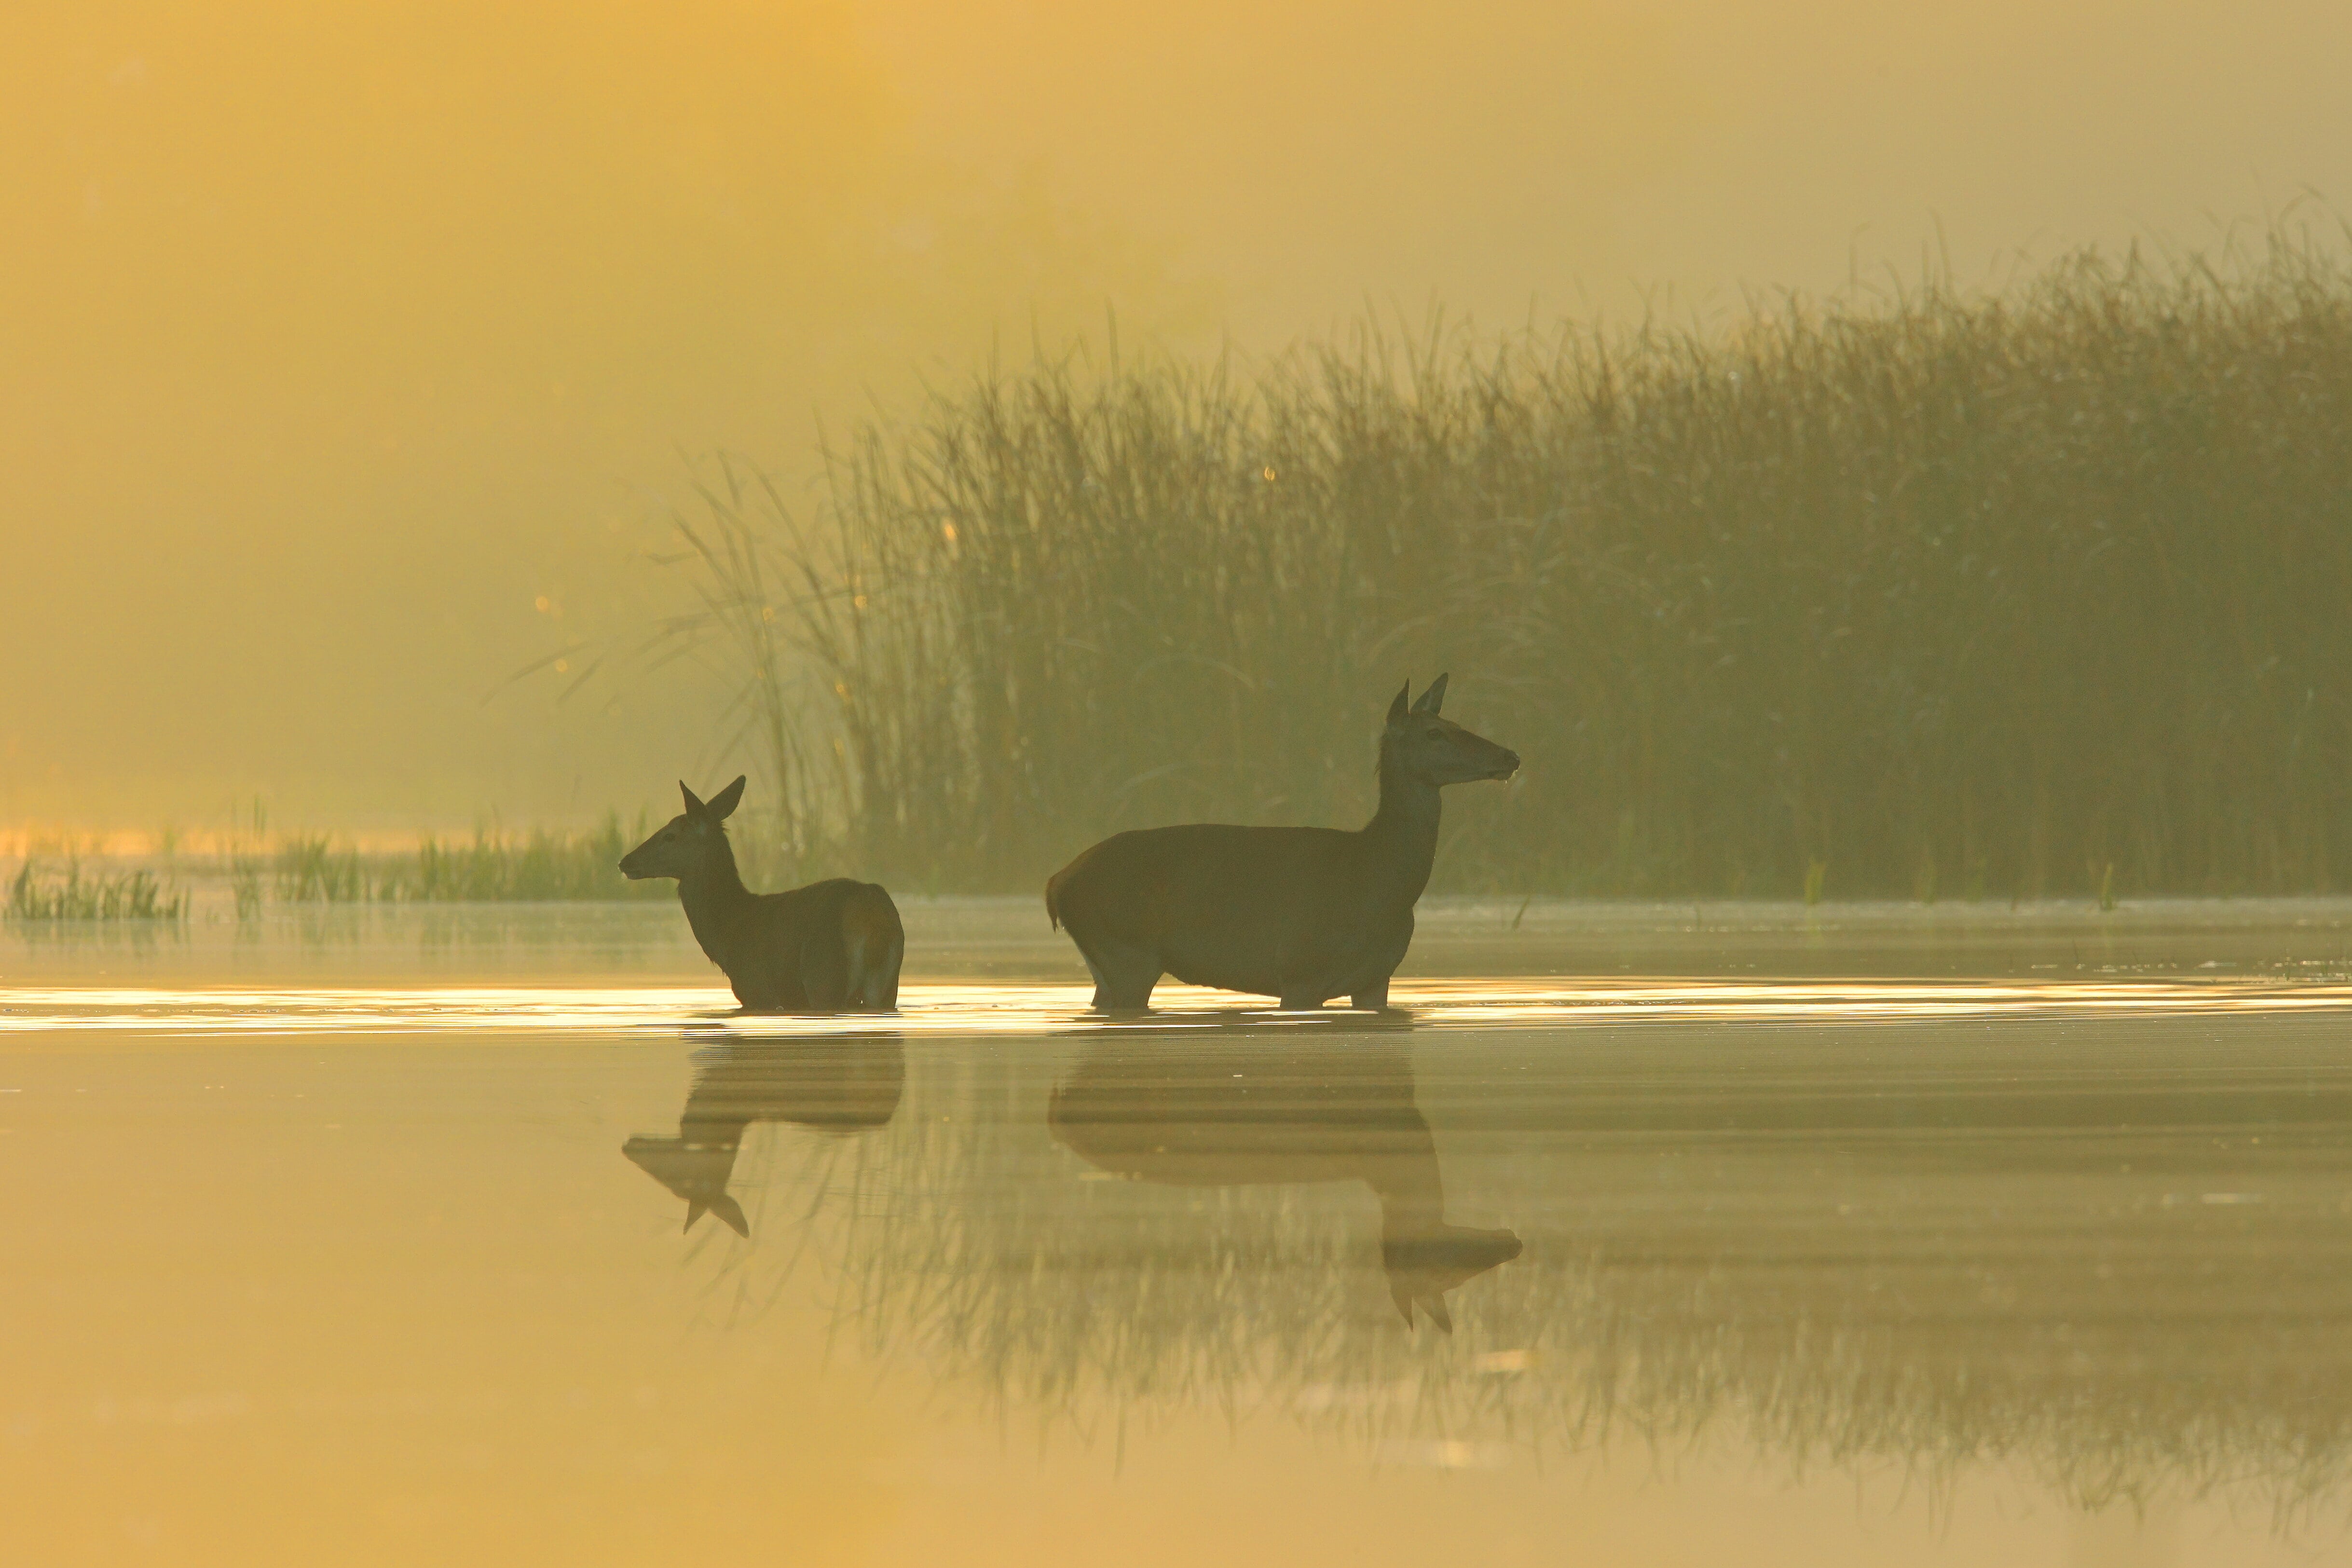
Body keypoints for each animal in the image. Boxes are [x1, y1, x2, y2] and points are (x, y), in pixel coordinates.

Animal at [621, 776, 903, 1020]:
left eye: (669, 835)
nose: (626, 861)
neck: (729, 932)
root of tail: (872, 914)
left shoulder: (756, 988)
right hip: (886, 984)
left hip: (823, 974)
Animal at [1049, 682, 1524, 1010]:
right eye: (1434, 733)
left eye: (1457, 724)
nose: (1510, 756)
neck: (1376, 878)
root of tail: (1056, 882)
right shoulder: (1299, 970)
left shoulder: (1377, 978)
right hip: (1126, 952)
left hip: (1105, 964)